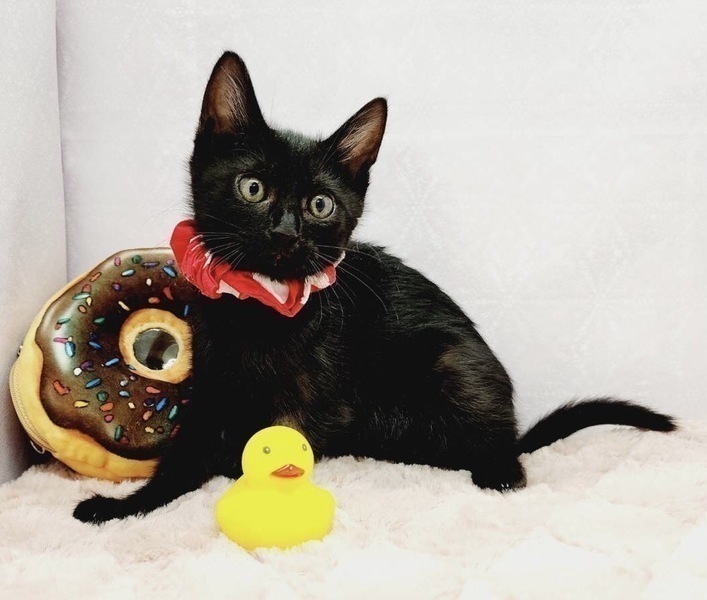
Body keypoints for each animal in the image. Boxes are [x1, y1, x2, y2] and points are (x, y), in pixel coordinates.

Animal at [74, 51, 674, 523]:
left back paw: (498, 470)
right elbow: (184, 456)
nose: (286, 231)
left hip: (449, 361)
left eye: (320, 204)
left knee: (499, 446)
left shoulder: (307, 402)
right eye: (253, 188)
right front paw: (124, 506)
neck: (260, 306)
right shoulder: (215, 381)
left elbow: (272, 445)